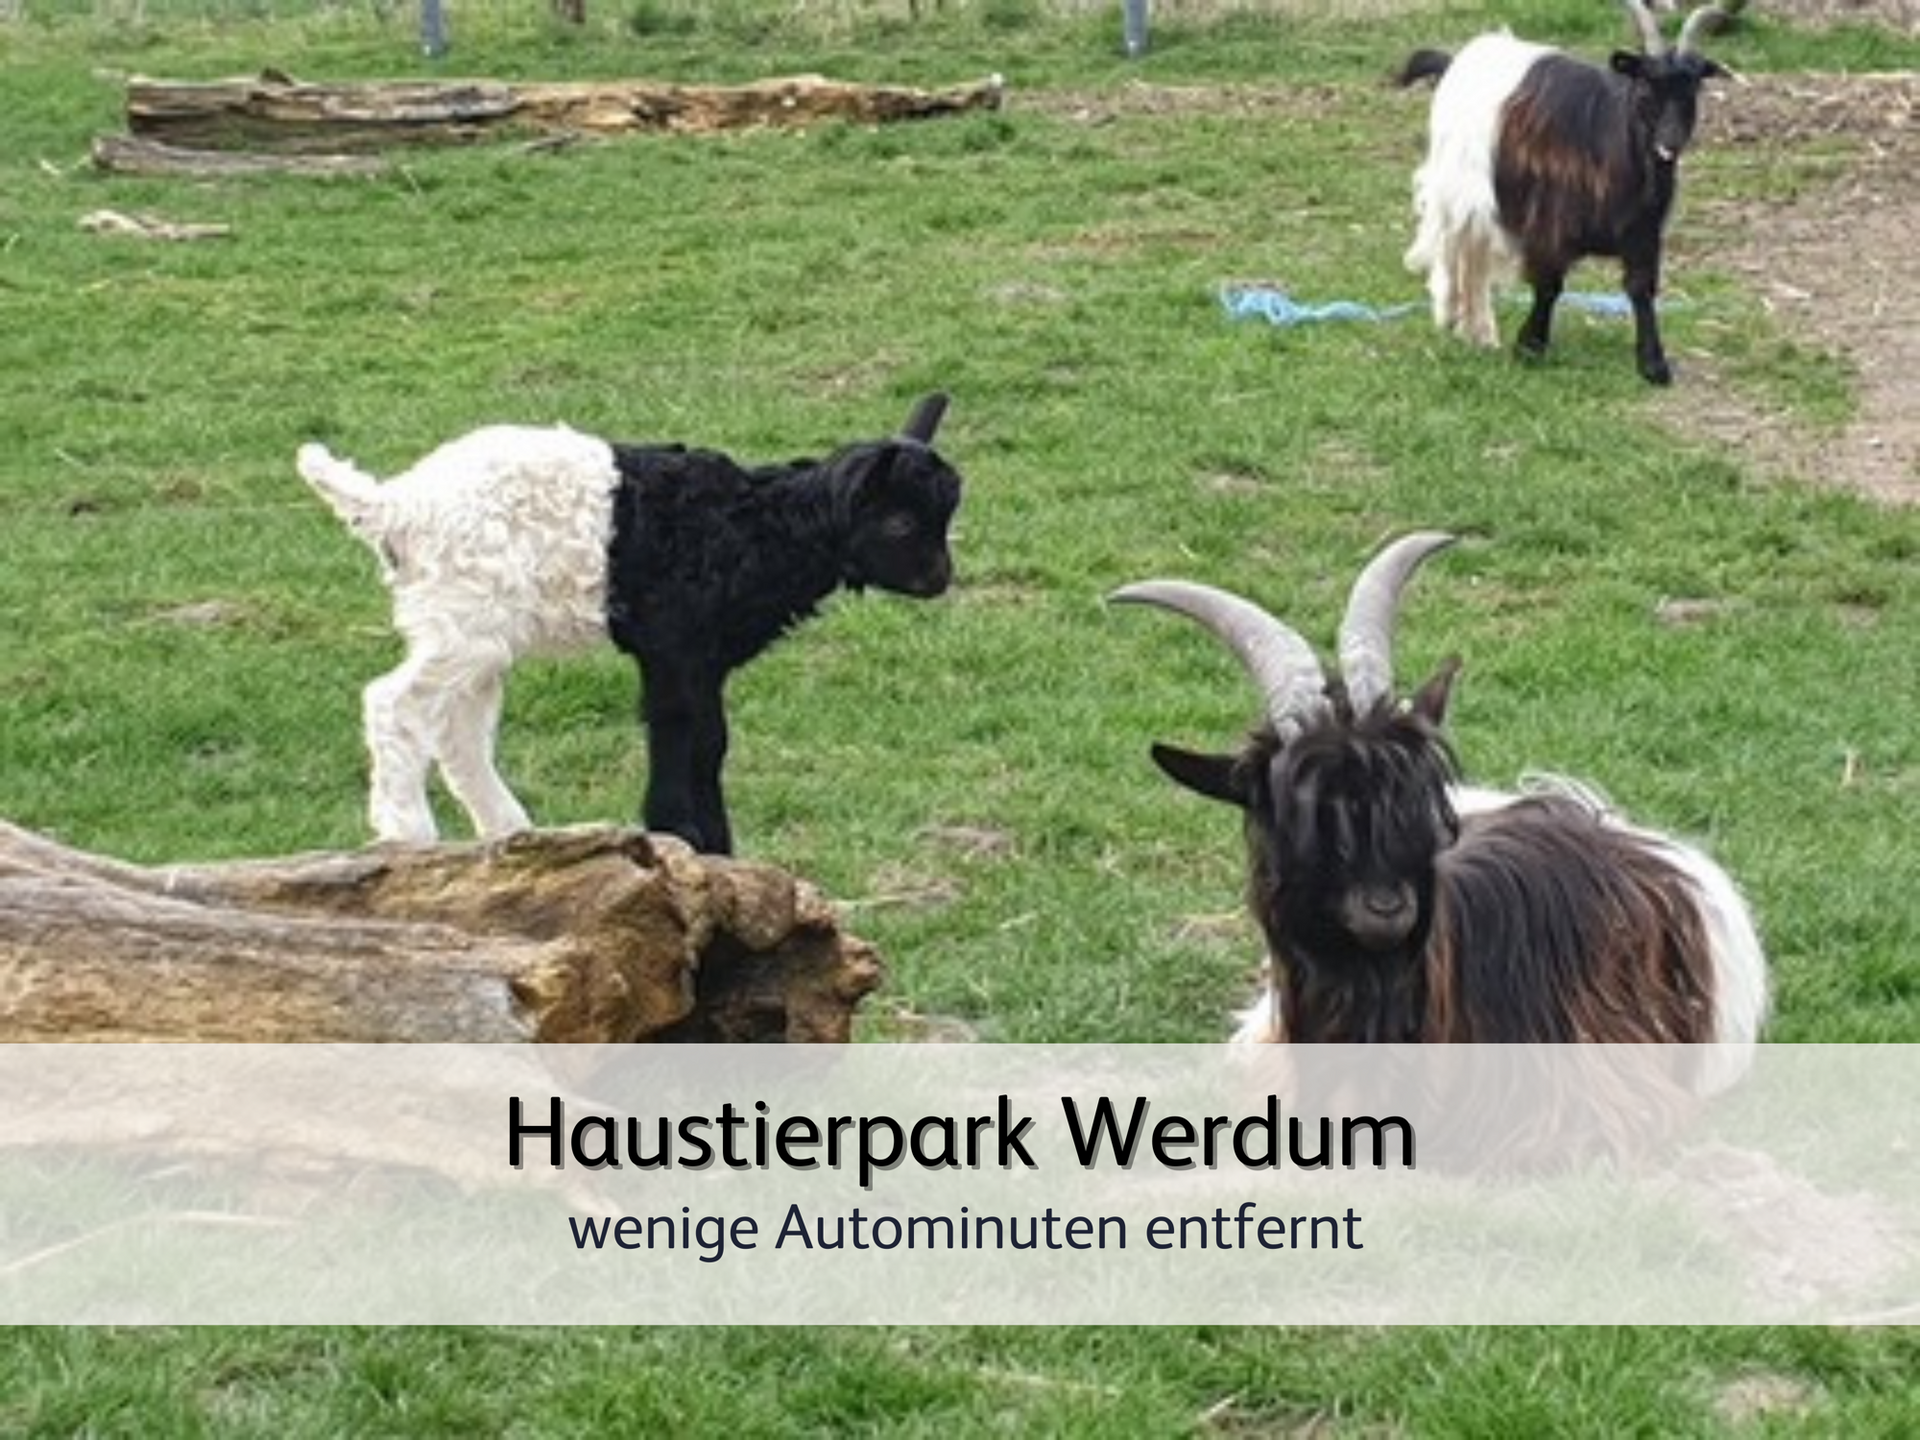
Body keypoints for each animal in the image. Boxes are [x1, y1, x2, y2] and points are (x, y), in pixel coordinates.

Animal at [298, 394, 962, 854]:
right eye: (901, 522)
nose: (941, 579)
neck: (758, 526)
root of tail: (397, 507)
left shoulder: (702, 657)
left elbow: (711, 741)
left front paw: (716, 845)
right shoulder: (672, 643)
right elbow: (677, 730)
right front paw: (678, 833)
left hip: (475, 629)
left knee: (459, 731)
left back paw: (510, 831)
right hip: (465, 620)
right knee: (394, 702)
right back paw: (409, 832)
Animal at [1397, 2, 1730, 384]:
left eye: (1694, 88)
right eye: (1645, 83)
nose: (1670, 142)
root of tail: (1458, 59)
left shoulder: (1643, 232)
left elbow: (1640, 289)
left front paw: (1653, 364)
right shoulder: (1549, 224)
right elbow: (1549, 285)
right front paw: (1530, 346)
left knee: (1474, 255)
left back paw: (1480, 332)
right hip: (1455, 188)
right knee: (1454, 246)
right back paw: (1450, 314)